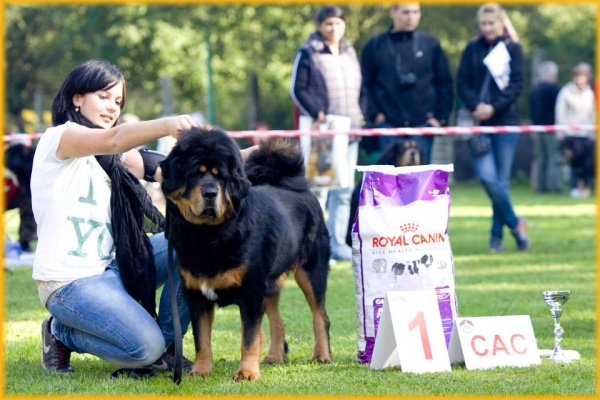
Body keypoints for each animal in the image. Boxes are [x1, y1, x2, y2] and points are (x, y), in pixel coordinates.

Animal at [161, 126, 332, 380]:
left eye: (221, 176)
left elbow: (248, 339)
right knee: (278, 322)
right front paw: (201, 371)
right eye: (195, 175)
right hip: (270, 284)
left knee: (320, 317)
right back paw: (274, 356)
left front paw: (247, 372)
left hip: (311, 272)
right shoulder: (197, 297)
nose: (210, 193)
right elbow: (202, 339)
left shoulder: (251, 294)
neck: (207, 236)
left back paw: (322, 356)